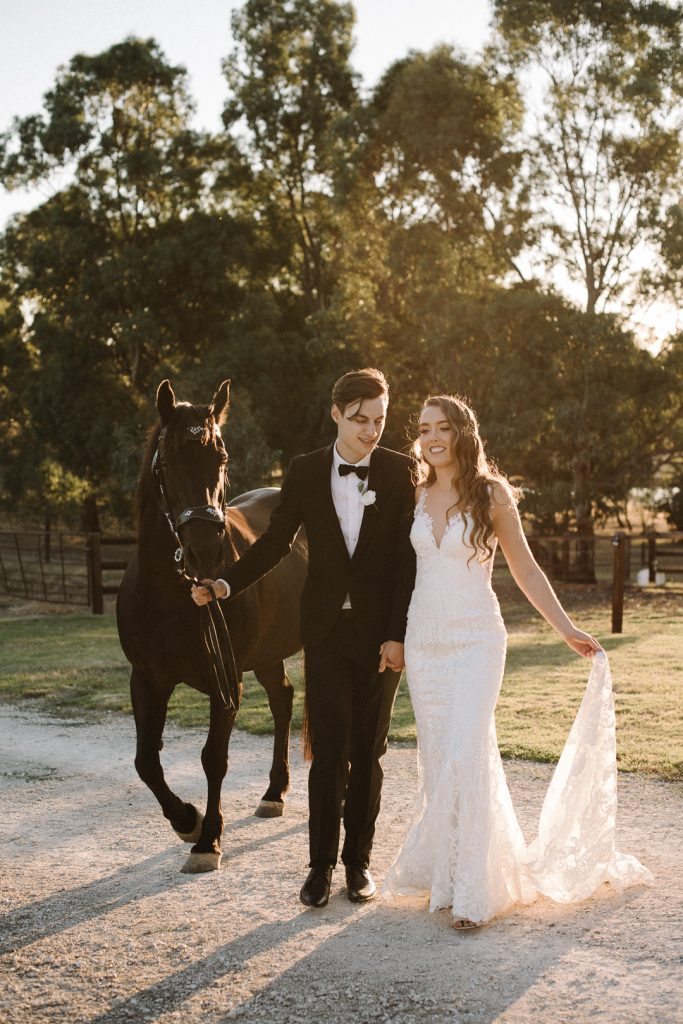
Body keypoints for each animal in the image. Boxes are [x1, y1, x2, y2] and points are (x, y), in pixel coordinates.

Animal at [116, 379, 307, 873]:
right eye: (169, 461)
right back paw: (274, 792)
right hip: (268, 655)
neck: (170, 598)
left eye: (220, 459)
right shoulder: (147, 680)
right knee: (283, 700)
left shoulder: (226, 683)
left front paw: (208, 840)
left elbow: (213, 758)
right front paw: (188, 821)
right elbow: (146, 761)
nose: (205, 551)